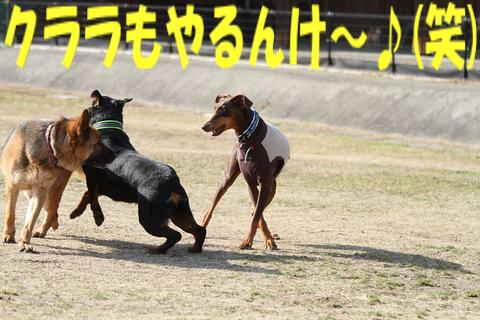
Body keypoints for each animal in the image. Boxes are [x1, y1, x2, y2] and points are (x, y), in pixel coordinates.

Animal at [1, 110, 113, 252]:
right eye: (98, 142)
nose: (115, 154)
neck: (50, 148)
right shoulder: (12, 187)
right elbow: (10, 214)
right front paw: (9, 235)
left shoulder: (40, 194)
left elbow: (30, 221)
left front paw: (24, 242)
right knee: (52, 211)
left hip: (53, 192)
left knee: (52, 210)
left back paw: (45, 228)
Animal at [69, 91, 204, 254]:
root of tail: (171, 182)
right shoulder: (103, 187)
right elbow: (87, 195)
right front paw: (76, 212)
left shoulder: (92, 177)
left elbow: (93, 199)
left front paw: (98, 218)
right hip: (180, 214)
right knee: (200, 230)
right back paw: (195, 249)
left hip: (149, 218)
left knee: (175, 235)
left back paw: (157, 250)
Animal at [202, 94, 290, 250]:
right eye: (214, 108)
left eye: (223, 110)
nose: (204, 126)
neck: (250, 139)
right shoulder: (251, 183)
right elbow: (258, 215)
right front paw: (252, 240)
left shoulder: (263, 184)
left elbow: (257, 215)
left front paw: (262, 240)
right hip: (227, 178)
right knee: (211, 207)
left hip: (272, 187)